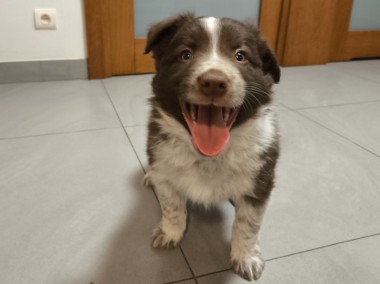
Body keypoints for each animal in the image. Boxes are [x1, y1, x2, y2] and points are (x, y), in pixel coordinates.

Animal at [142, 12, 280, 280]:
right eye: (186, 54)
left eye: (240, 56)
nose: (214, 82)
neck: (209, 156)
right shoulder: (164, 167)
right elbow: (171, 206)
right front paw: (170, 232)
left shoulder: (260, 180)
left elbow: (248, 224)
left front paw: (246, 257)